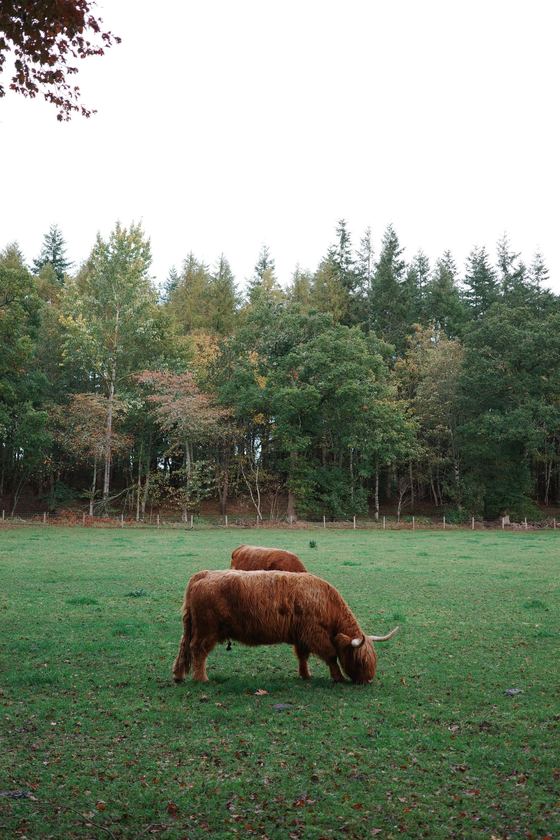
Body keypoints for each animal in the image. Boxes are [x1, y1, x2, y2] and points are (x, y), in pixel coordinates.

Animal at [172, 569, 398, 684]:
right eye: (360, 660)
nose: (367, 680)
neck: (327, 603)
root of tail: (202, 575)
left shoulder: (302, 635)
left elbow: (302, 656)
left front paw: (305, 675)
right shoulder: (315, 634)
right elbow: (331, 655)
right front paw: (338, 677)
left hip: (192, 627)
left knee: (183, 648)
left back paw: (178, 675)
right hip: (206, 629)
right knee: (198, 650)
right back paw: (202, 678)